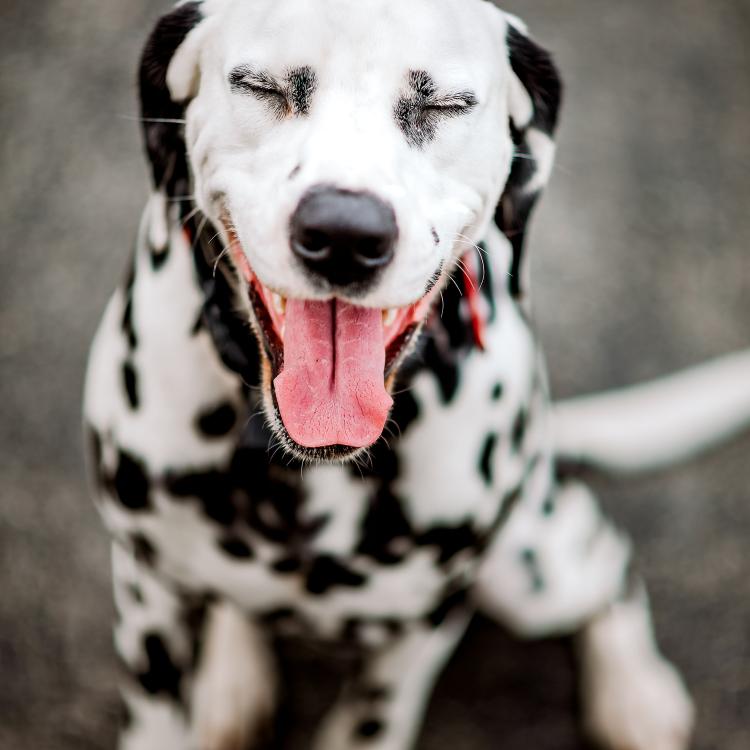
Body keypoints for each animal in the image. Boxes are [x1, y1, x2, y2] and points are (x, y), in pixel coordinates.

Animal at [82, 0, 750, 748]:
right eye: (261, 86)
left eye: (446, 104)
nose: (345, 233)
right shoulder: (144, 587)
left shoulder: (426, 620)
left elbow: (370, 719)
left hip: (530, 570)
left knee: (611, 560)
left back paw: (635, 691)